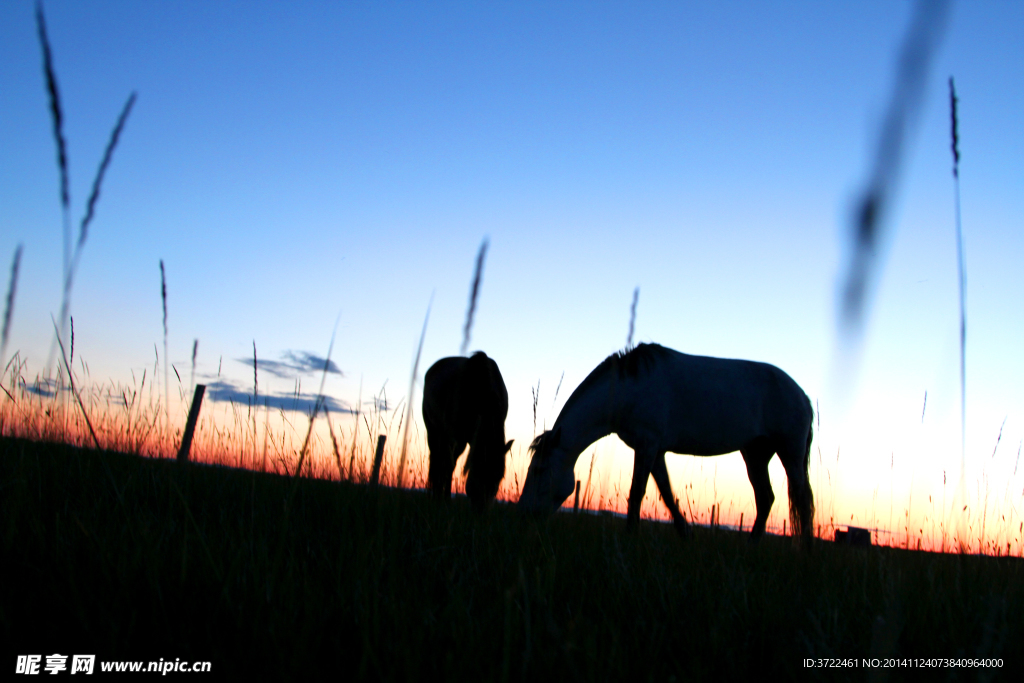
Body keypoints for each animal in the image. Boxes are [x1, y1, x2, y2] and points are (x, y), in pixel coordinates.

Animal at [419, 352, 512, 511]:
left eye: (499, 477)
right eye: (480, 471)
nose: (481, 509)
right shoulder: (456, 437)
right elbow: (448, 465)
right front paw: (444, 500)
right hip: (435, 432)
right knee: (439, 461)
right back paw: (437, 496)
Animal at [520, 344, 815, 548]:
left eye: (539, 470)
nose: (524, 512)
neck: (630, 388)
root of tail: (803, 395)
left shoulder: (648, 445)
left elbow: (636, 493)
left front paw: (631, 536)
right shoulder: (655, 450)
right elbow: (666, 492)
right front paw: (686, 533)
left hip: (790, 453)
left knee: (802, 500)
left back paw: (807, 552)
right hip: (755, 455)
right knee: (765, 499)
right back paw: (751, 547)